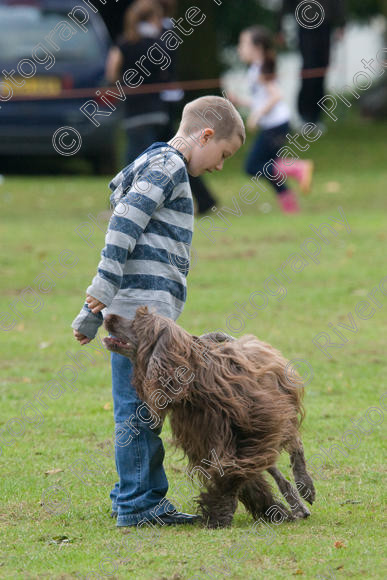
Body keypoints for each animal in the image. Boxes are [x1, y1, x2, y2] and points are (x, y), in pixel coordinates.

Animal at [103, 308, 316, 532]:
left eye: (139, 319)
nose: (107, 317)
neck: (197, 384)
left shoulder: (255, 430)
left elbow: (232, 472)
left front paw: (219, 513)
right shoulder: (206, 440)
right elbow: (243, 475)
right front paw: (269, 508)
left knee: (294, 445)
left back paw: (304, 486)